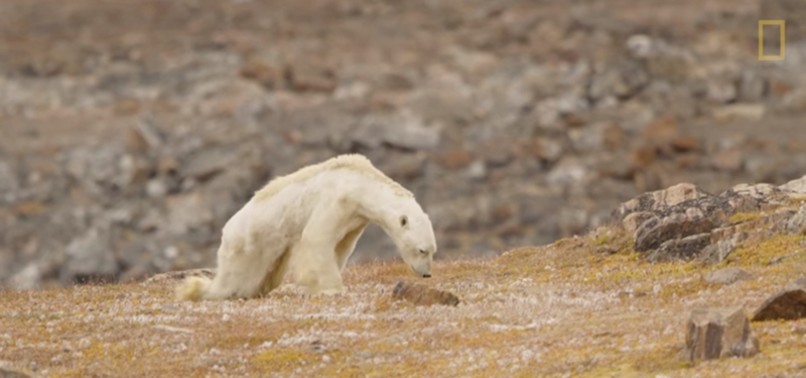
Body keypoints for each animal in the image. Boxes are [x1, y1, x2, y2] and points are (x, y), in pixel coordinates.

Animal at [178, 154, 442, 302]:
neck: (358, 182)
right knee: (236, 280)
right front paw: (332, 288)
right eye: (422, 250)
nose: (427, 274)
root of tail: (227, 231)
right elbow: (316, 239)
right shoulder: (335, 200)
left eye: (432, 250)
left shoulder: (355, 219)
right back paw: (196, 290)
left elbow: (341, 247)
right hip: (249, 244)